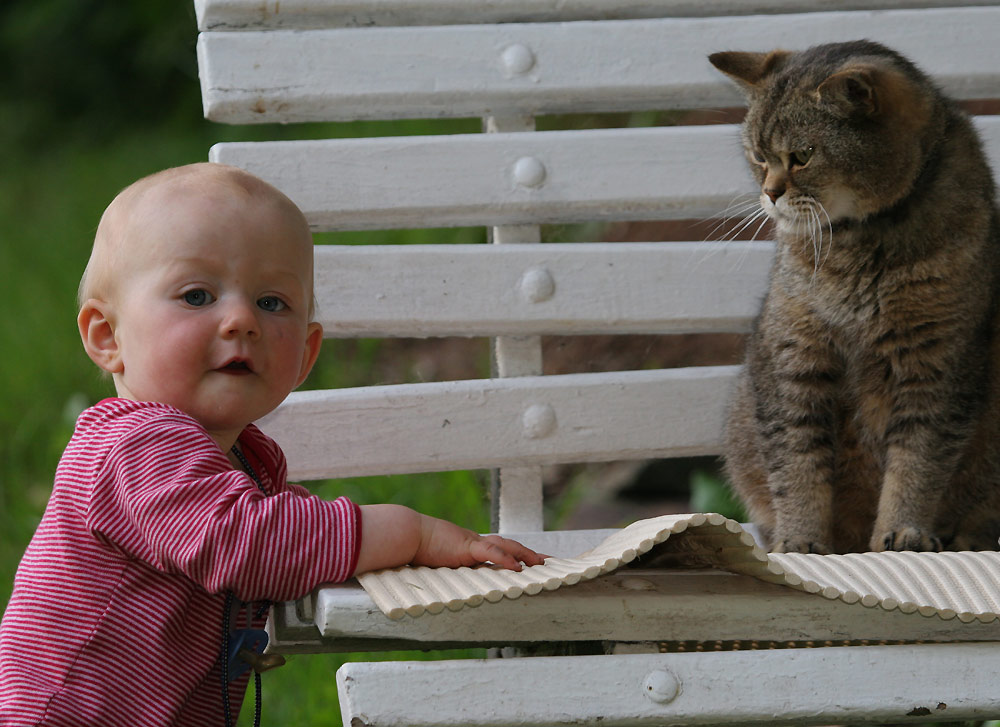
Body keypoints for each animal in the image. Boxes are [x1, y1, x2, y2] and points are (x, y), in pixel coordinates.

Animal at [712, 39, 1000, 556]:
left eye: (803, 154)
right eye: (758, 157)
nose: (769, 194)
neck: (859, 244)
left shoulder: (937, 363)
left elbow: (919, 461)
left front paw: (903, 529)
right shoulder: (794, 356)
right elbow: (796, 462)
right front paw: (800, 539)